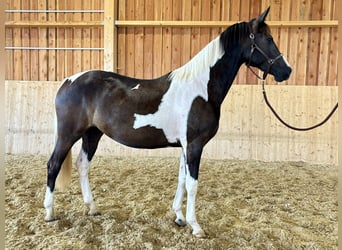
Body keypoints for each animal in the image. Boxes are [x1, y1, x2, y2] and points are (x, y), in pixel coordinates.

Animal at [44, 7, 292, 238]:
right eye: (268, 39)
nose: (287, 71)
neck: (201, 89)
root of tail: (68, 81)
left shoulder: (185, 146)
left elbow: (182, 179)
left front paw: (180, 218)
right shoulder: (194, 145)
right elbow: (192, 184)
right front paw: (196, 226)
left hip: (92, 133)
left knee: (83, 165)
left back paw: (92, 208)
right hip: (68, 134)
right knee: (53, 165)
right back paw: (49, 213)